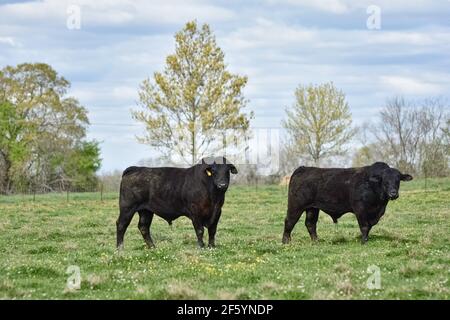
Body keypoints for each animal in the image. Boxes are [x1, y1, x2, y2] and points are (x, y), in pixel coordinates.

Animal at [284, 161, 414, 244]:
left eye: (398, 180)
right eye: (385, 181)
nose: (393, 193)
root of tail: (303, 168)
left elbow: (370, 226)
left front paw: (366, 239)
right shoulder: (360, 209)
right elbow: (365, 226)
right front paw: (363, 242)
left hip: (312, 208)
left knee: (310, 224)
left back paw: (316, 242)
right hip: (296, 205)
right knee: (289, 221)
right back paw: (286, 242)